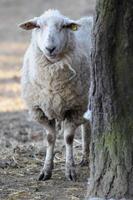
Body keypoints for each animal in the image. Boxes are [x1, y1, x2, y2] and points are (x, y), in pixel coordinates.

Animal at [19, 9, 93, 181]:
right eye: (38, 26)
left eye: (63, 26)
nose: (50, 48)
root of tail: (90, 18)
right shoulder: (40, 110)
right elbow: (50, 138)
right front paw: (46, 170)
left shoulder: (75, 108)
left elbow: (68, 138)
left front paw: (70, 170)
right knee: (87, 126)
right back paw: (85, 158)